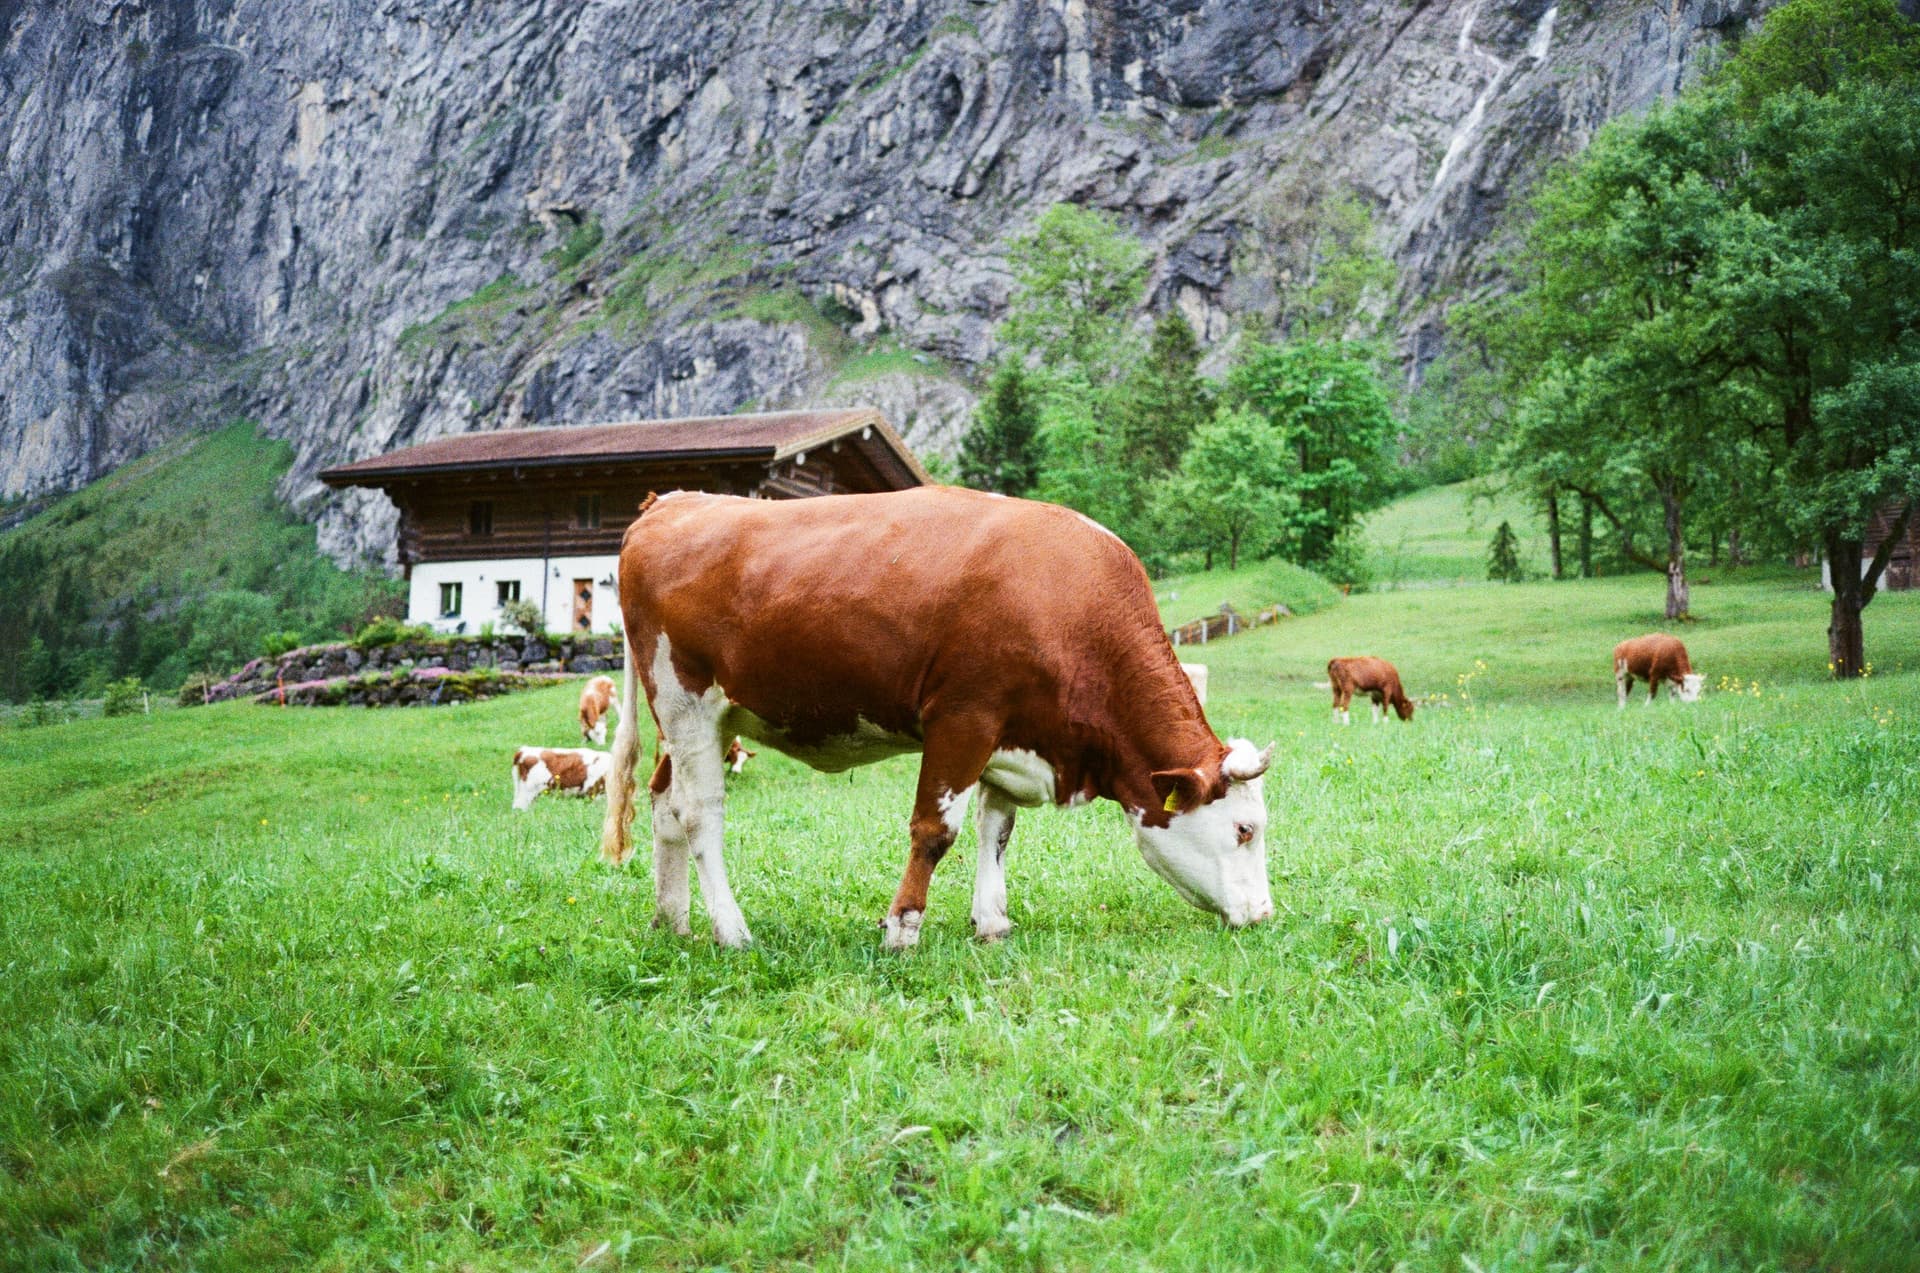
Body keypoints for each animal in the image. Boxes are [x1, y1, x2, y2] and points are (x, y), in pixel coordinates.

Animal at [599, 483, 1274, 952]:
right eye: (1244, 830)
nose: (1265, 914)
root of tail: (674, 500)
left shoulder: (1011, 735)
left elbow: (996, 829)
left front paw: (992, 921)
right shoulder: (963, 718)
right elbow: (934, 831)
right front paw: (902, 928)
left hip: (701, 722)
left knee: (665, 804)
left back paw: (673, 920)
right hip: (685, 703)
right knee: (699, 813)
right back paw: (731, 930)